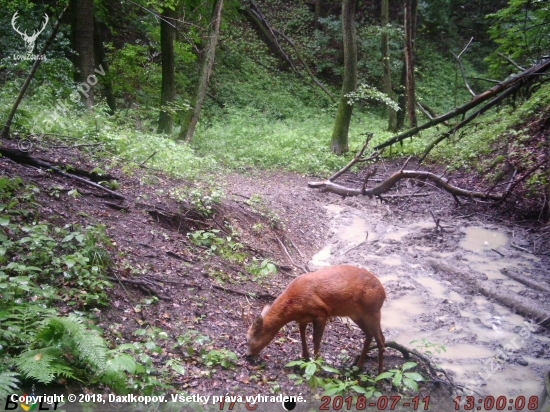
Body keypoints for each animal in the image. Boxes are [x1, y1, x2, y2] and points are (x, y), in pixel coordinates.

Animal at [247, 266, 388, 374]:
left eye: (249, 339)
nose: (247, 355)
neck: (293, 306)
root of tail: (384, 292)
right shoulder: (302, 319)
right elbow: (302, 335)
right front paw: (305, 357)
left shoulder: (321, 313)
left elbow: (316, 340)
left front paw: (317, 366)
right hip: (357, 315)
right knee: (369, 334)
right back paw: (358, 367)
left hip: (373, 311)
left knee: (381, 339)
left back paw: (379, 376)